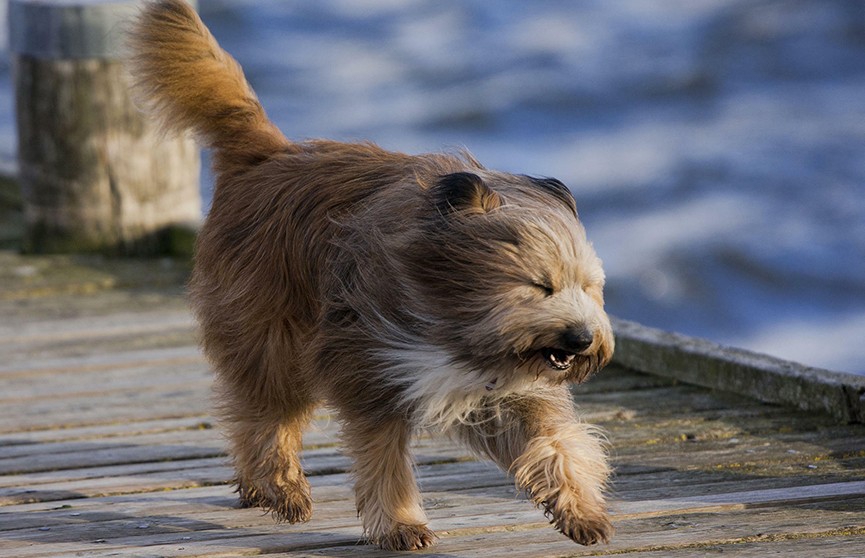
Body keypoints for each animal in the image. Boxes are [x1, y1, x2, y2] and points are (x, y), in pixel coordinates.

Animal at [128, 0, 616, 552]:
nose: (582, 339)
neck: (452, 319)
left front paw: (580, 509)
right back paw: (281, 487)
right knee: (264, 419)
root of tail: (269, 154)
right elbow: (384, 463)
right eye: (540, 286)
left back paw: (258, 488)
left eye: (590, 288)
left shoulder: (506, 393)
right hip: (271, 339)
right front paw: (402, 525)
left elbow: (556, 443)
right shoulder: (370, 369)